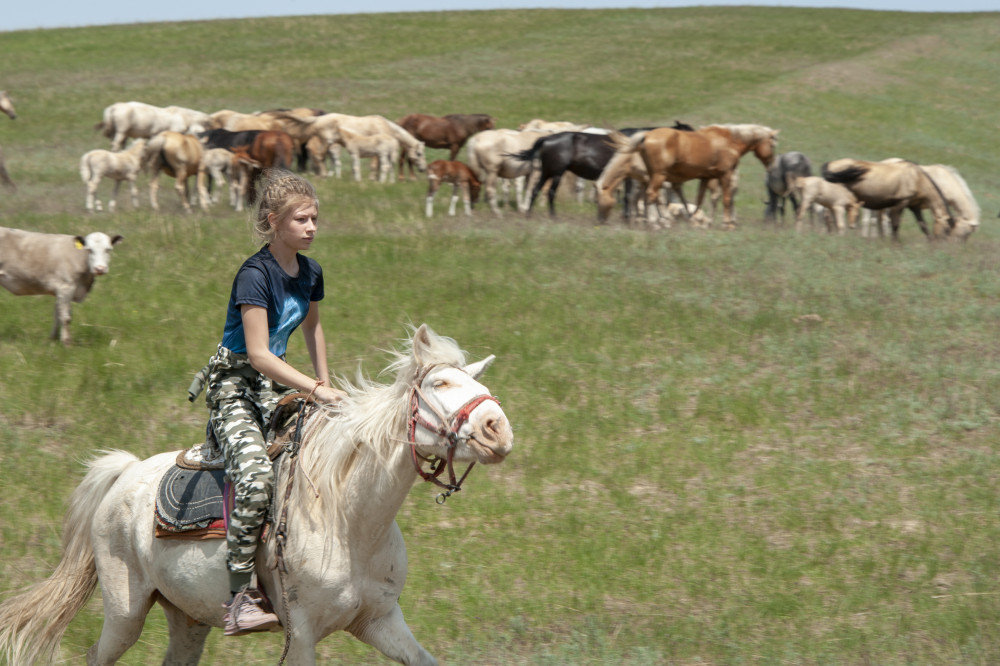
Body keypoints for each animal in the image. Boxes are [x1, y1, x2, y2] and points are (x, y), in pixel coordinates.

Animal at [0, 322, 512, 664]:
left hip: (186, 617)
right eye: (439, 383)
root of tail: (124, 473)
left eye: (482, 384)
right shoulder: (301, 634)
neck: (348, 519)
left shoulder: (380, 619)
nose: (498, 429)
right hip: (125, 613)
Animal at [628, 123, 776, 230]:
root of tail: (646, 135)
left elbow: (700, 199)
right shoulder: (725, 175)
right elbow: (726, 199)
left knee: (647, 197)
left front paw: (698, 221)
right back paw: (655, 223)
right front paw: (726, 224)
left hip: (651, 176)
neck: (729, 141)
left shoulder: (706, 177)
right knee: (651, 195)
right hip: (659, 176)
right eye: (773, 145)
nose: (772, 166)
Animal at [824, 156, 956, 239]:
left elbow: (922, 225)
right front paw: (894, 242)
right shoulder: (901, 203)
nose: (944, 246)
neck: (917, 178)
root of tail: (830, 164)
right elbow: (895, 224)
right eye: (946, 230)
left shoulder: (914, 206)